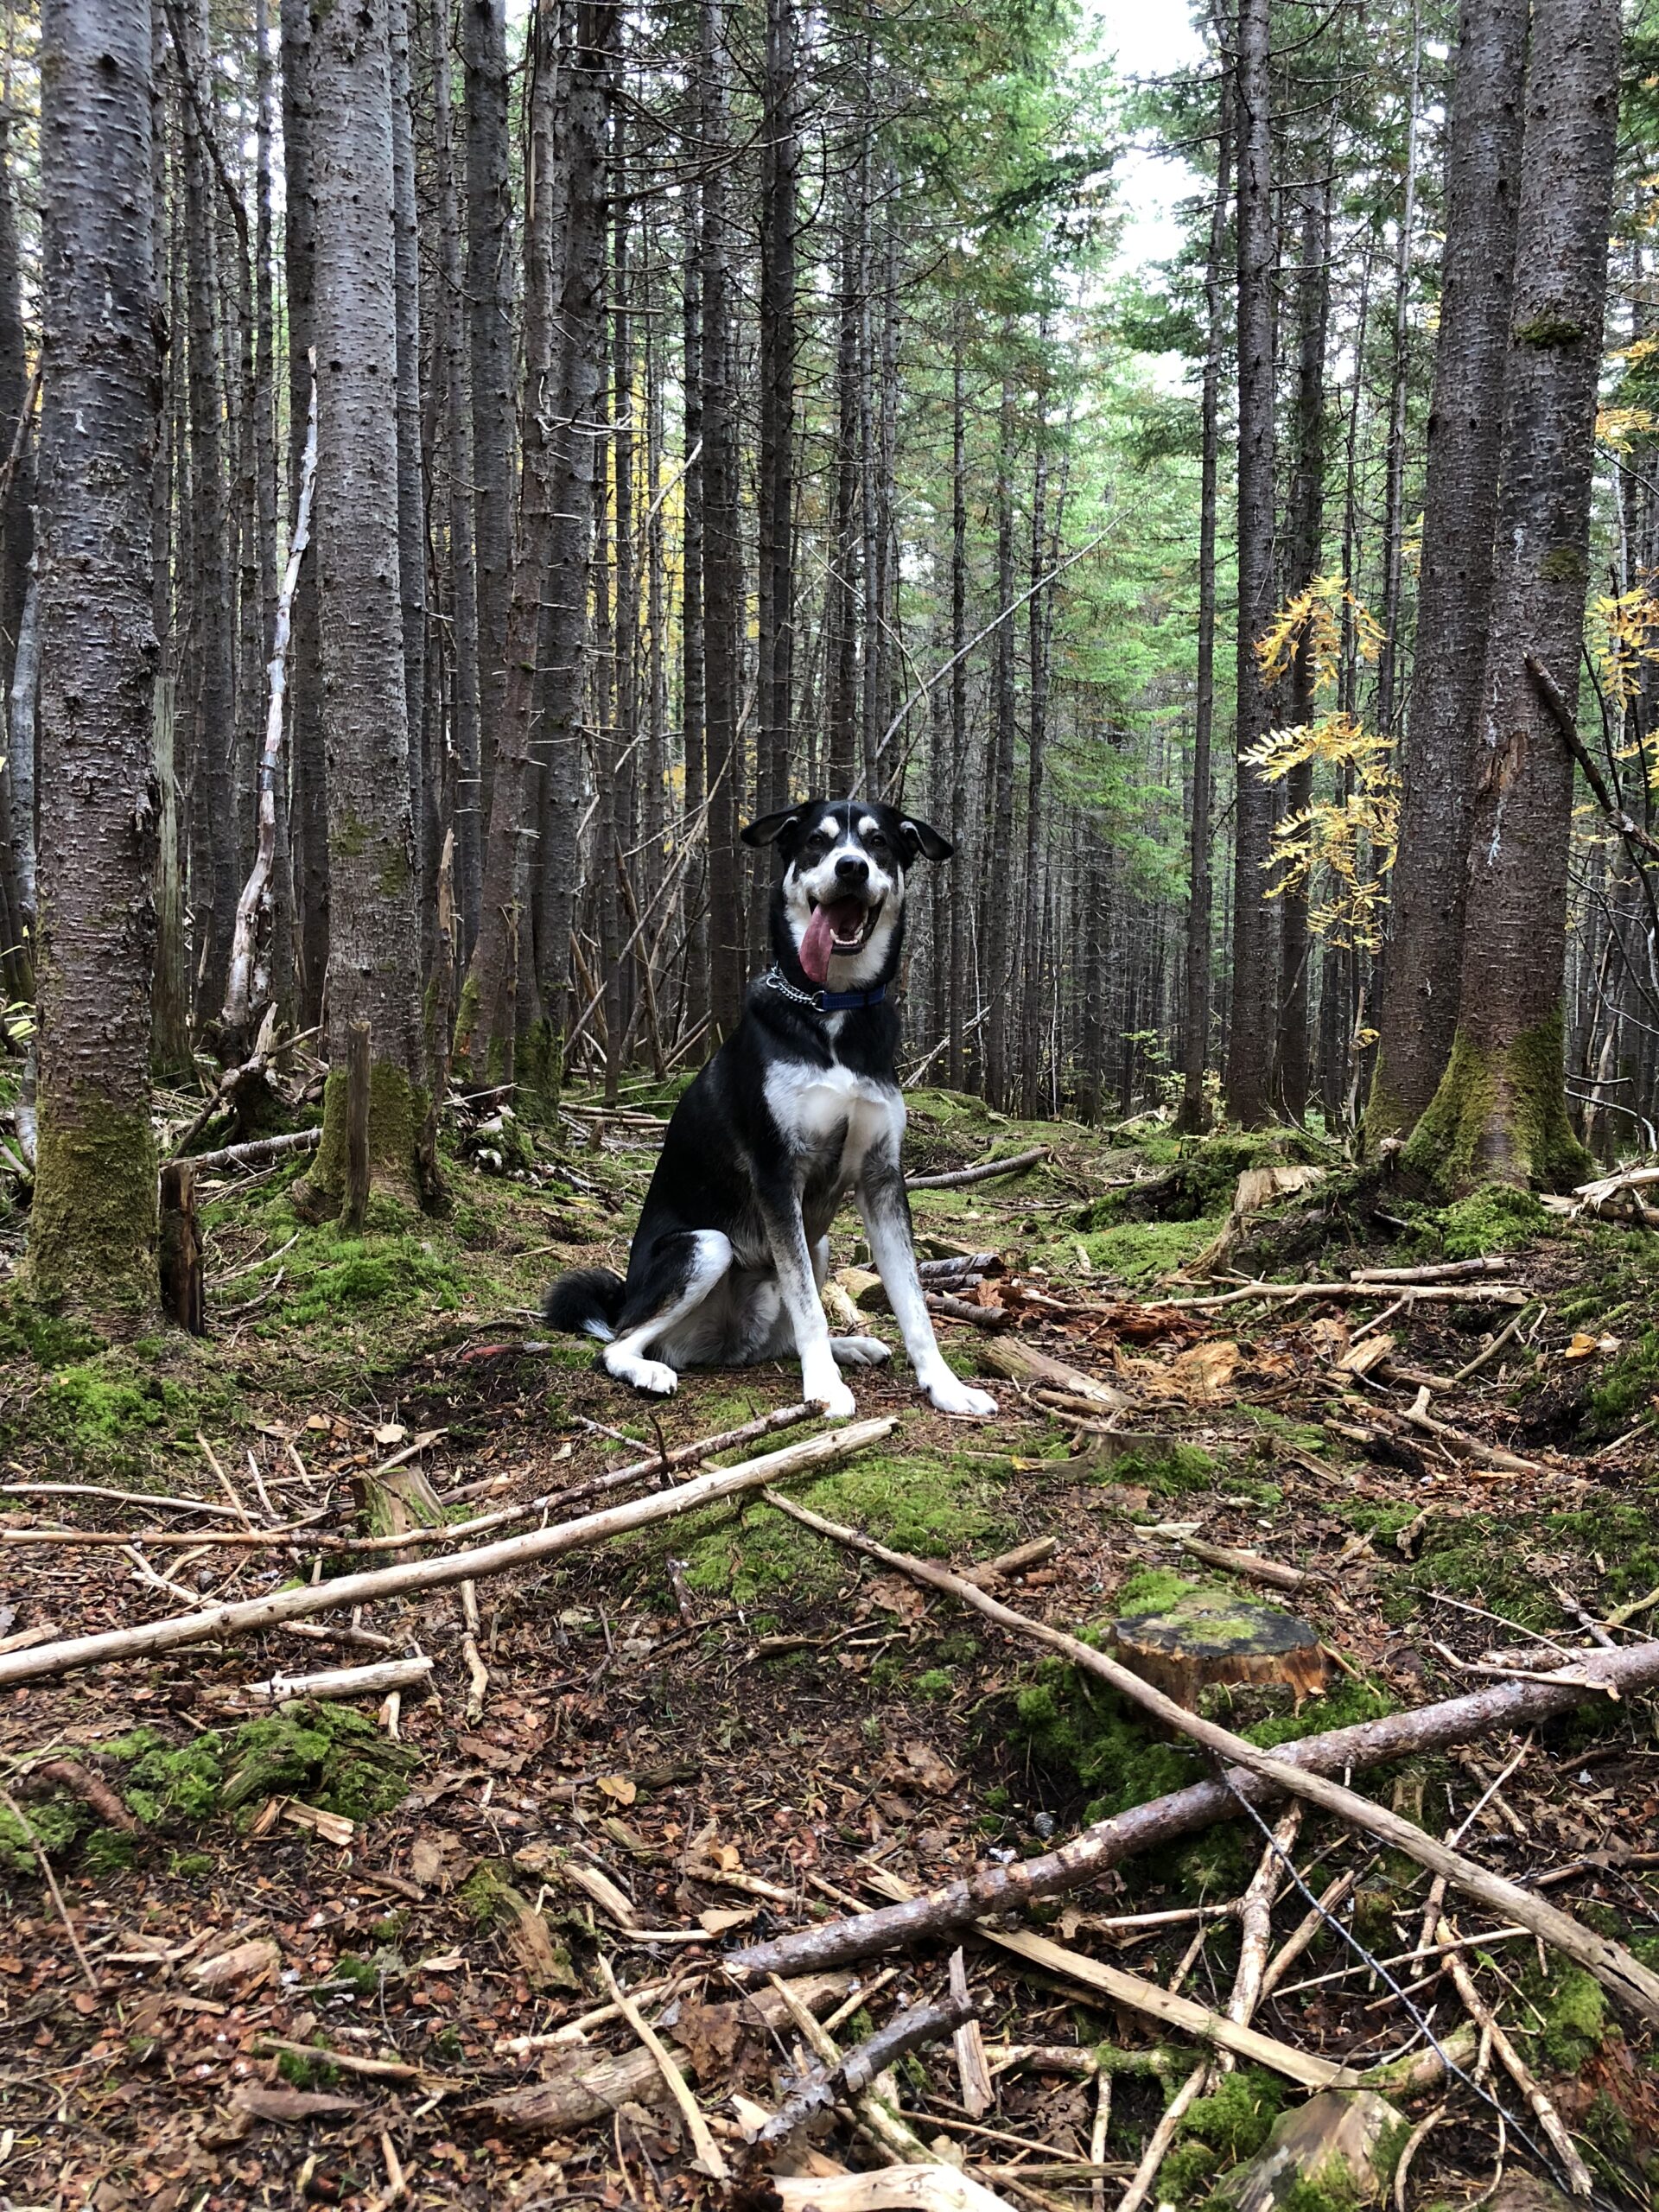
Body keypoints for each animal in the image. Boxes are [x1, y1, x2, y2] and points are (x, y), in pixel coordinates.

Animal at [548, 796, 1000, 1415]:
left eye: (879, 842)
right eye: (816, 842)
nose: (851, 868)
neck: (831, 1006)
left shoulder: (882, 1178)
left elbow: (912, 1302)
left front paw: (947, 1387)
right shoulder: (777, 1174)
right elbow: (808, 1303)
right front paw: (824, 1389)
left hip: (820, 1241)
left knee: (777, 1335)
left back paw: (850, 1346)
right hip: (706, 1247)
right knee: (620, 1343)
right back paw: (647, 1370)